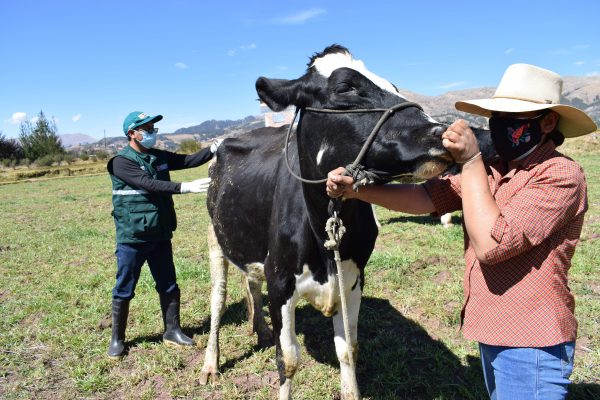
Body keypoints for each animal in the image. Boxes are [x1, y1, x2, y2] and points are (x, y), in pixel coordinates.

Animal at [199, 44, 466, 400]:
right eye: (345, 87)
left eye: (394, 85)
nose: (441, 132)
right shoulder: (279, 280)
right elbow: (288, 360)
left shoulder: (352, 277)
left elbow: (348, 350)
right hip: (216, 239)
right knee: (218, 299)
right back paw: (210, 364)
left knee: (251, 282)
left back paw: (261, 332)